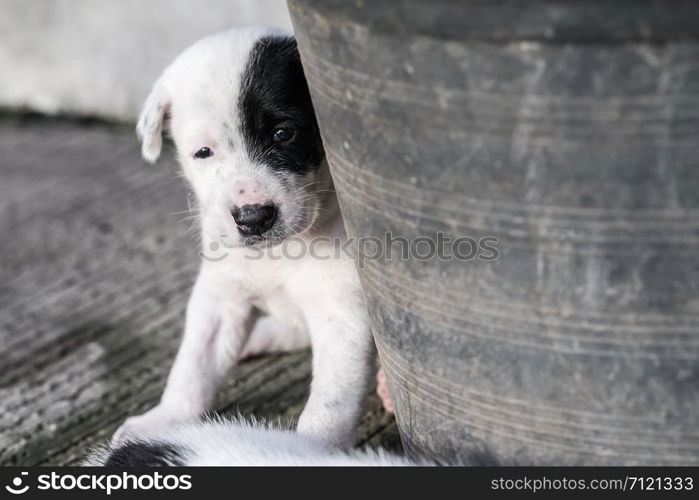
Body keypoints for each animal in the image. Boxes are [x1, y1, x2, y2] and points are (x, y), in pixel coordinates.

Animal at [113, 27, 378, 450]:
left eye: (284, 133)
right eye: (203, 152)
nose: (253, 218)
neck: (280, 252)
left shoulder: (343, 315)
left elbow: (329, 405)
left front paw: (310, 452)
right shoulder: (220, 298)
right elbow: (192, 366)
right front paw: (164, 419)